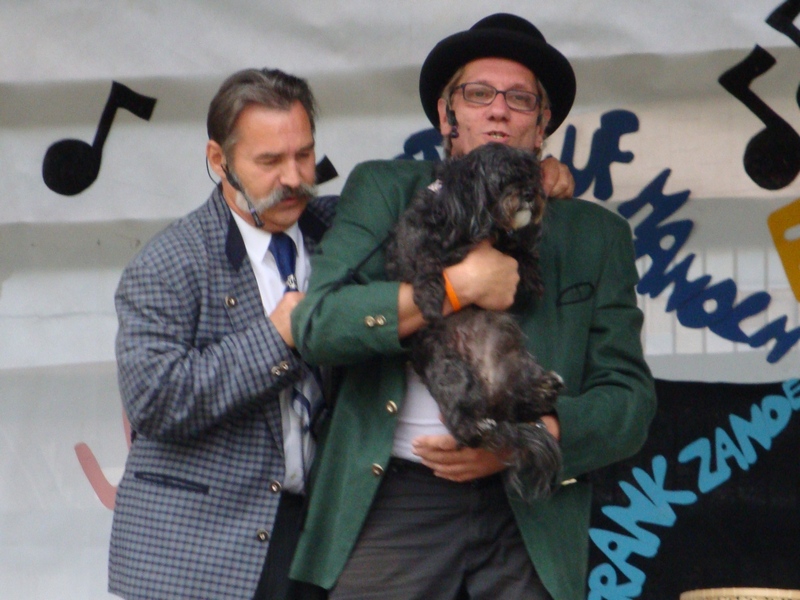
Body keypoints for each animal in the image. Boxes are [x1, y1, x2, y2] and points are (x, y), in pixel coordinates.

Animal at [385, 142, 564, 500]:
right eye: (502, 178)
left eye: (531, 176)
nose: (529, 193)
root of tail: (491, 395)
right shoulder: (417, 243)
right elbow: (428, 261)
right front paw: (430, 299)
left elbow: (518, 251)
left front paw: (532, 273)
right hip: (452, 372)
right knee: (460, 424)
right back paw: (476, 427)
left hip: (517, 360)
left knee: (520, 402)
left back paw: (543, 388)